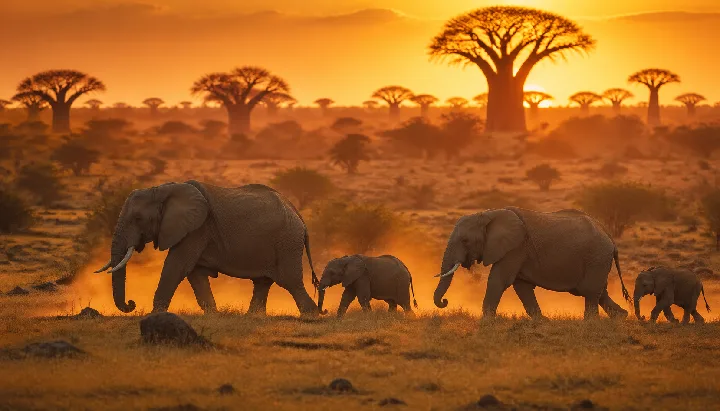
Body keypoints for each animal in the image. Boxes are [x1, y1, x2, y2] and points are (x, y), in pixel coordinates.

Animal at [94, 181, 320, 316]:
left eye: (138, 218)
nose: (131, 304)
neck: (162, 189)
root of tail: (299, 217)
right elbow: (195, 273)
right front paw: (213, 315)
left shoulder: (196, 229)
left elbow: (176, 267)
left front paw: (154, 316)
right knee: (263, 282)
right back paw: (254, 317)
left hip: (287, 242)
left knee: (290, 281)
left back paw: (311, 315)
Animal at [433, 207, 632, 319]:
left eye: (465, 241)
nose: (445, 301)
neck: (487, 214)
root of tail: (611, 239)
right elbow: (522, 286)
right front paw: (542, 322)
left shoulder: (516, 247)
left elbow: (499, 280)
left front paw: (487, 322)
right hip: (598, 261)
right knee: (599, 292)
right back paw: (620, 318)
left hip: (596, 258)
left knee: (590, 291)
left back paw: (590, 324)